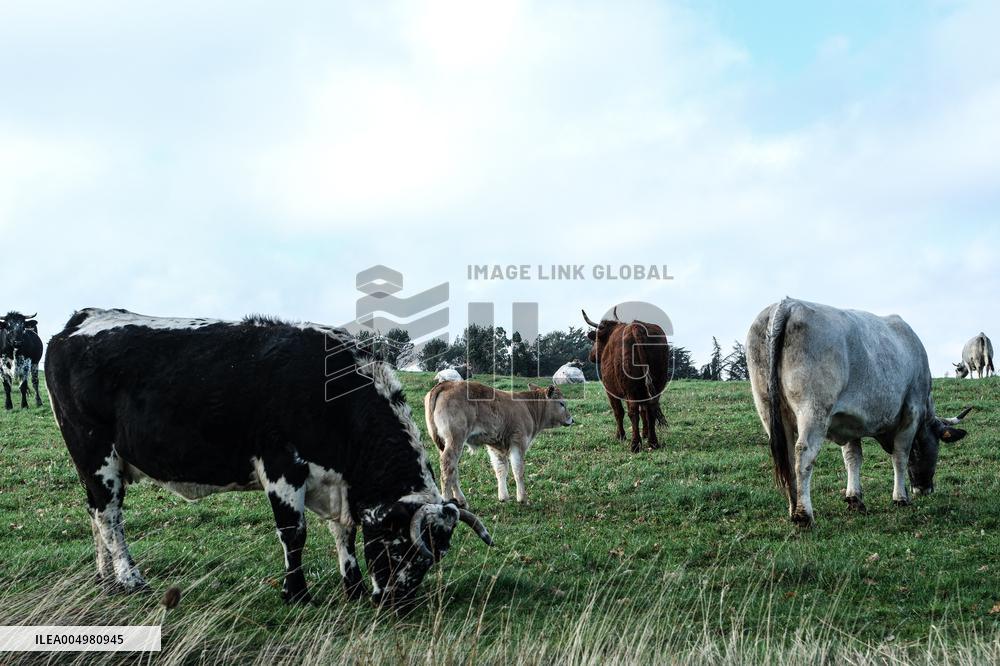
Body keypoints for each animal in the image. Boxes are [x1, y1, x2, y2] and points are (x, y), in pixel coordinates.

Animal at [44, 308, 492, 608]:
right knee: (109, 516)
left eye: (431, 558)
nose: (397, 604)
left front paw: (353, 587)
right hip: (95, 452)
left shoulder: (338, 482)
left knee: (95, 513)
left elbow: (343, 532)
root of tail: (81, 320)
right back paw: (129, 578)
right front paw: (297, 593)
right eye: (399, 546)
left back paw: (105, 578)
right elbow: (294, 533)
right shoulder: (281, 466)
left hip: (94, 465)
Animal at [424, 381, 574, 506]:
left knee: (453, 469)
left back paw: (461, 500)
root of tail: (447, 384)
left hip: (445, 443)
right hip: (455, 439)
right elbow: (518, 470)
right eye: (561, 403)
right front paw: (522, 498)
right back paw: (447, 500)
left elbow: (501, 469)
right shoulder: (518, 442)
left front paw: (503, 496)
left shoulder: (495, 446)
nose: (571, 419)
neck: (528, 407)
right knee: (448, 465)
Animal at [581, 308, 669, 452]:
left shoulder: (610, 390)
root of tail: (636, 327)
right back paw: (653, 442)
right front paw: (645, 434)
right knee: (650, 408)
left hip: (630, 389)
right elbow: (643, 411)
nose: (591, 355)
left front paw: (620, 436)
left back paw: (635, 444)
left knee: (632, 412)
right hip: (657, 384)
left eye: (597, 338)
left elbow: (618, 412)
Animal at [747, 298, 974, 527]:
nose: (924, 489)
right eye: (935, 444)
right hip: (813, 410)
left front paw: (854, 498)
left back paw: (793, 509)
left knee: (788, 457)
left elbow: (853, 458)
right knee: (803, 454)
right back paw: (804, 514)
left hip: (768, 409)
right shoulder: (911, 412)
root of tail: (788, 304)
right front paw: (900, 497)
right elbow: (900, 456)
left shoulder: (847, 421)